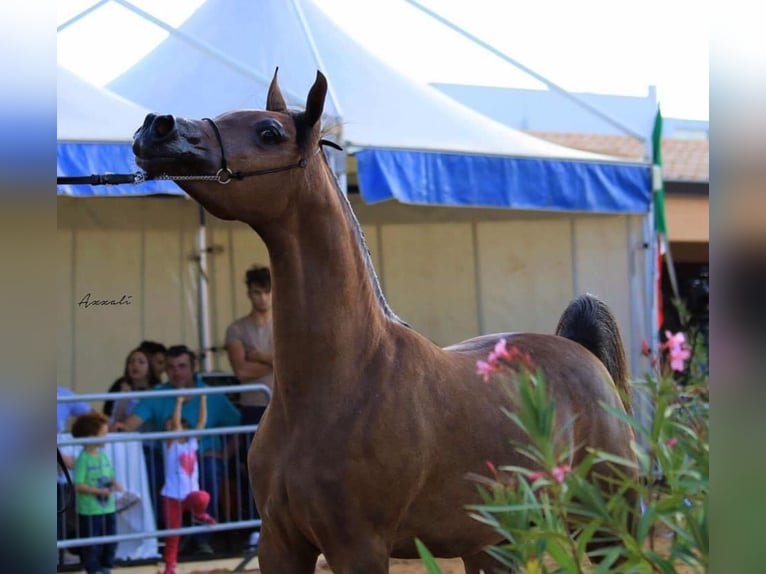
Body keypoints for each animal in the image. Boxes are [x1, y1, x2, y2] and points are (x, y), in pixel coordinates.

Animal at [135, 70, 640, 572]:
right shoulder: (279, 545)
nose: (157, 127)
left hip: (608, 527)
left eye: (269, 133)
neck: (343, 380)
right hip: (494, 544)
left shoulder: (358, 548)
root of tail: (584, 354)